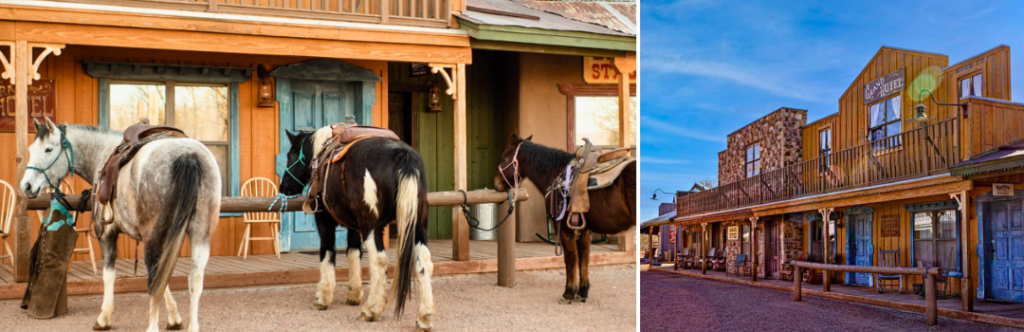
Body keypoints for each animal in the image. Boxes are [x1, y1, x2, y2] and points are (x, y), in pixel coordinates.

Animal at [20, 117, 220, 329]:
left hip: (153, 237)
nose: (26, 186)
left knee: (154, 276)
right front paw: (174, 317)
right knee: (194, 278)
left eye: (48, 149)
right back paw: (192, 326)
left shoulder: (106, 234)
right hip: (201, 235)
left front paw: (104, 318)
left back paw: (152, 327)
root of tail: (187, 154)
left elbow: (109, 274)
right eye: (31, 149)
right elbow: (164, 278)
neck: (102, 153)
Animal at [276, 126, 432, 329]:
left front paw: (322, 297)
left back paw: (371, 310)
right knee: (423, 262)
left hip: (372, 226)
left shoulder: (324, 222)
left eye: (291, 155)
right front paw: (354, 293)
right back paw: (425, 316)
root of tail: (402, 155)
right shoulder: (354, 226)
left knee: (379, 260)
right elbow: (353, 252)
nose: (284, 187)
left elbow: (327, 253)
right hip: (417, 225)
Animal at [493, 134, 630, 303]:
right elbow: (584, 258)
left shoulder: (564, 227)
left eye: (503, 158)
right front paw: (583, 291)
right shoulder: (584, 229)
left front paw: (569, 293)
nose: (496, 184)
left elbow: (570, 259)